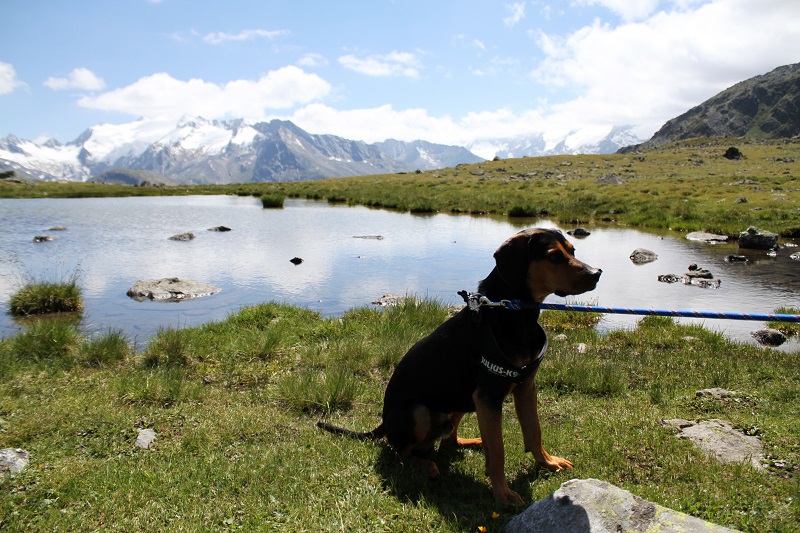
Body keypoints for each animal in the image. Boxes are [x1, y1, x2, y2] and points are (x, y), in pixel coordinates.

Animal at [318, 228, 600, 502]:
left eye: (573, 250)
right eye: (554, 256)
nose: (597, 273)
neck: (513, 314)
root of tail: (384, 422)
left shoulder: (525, 386)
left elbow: (534, 431)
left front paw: (548, 462)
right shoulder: (488, 396)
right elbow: (498, 450)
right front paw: (503, 494)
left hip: (463, 401)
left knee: (449, 439)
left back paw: (470, 441)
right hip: (419, 411)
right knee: (400, 451)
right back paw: (425, 465)